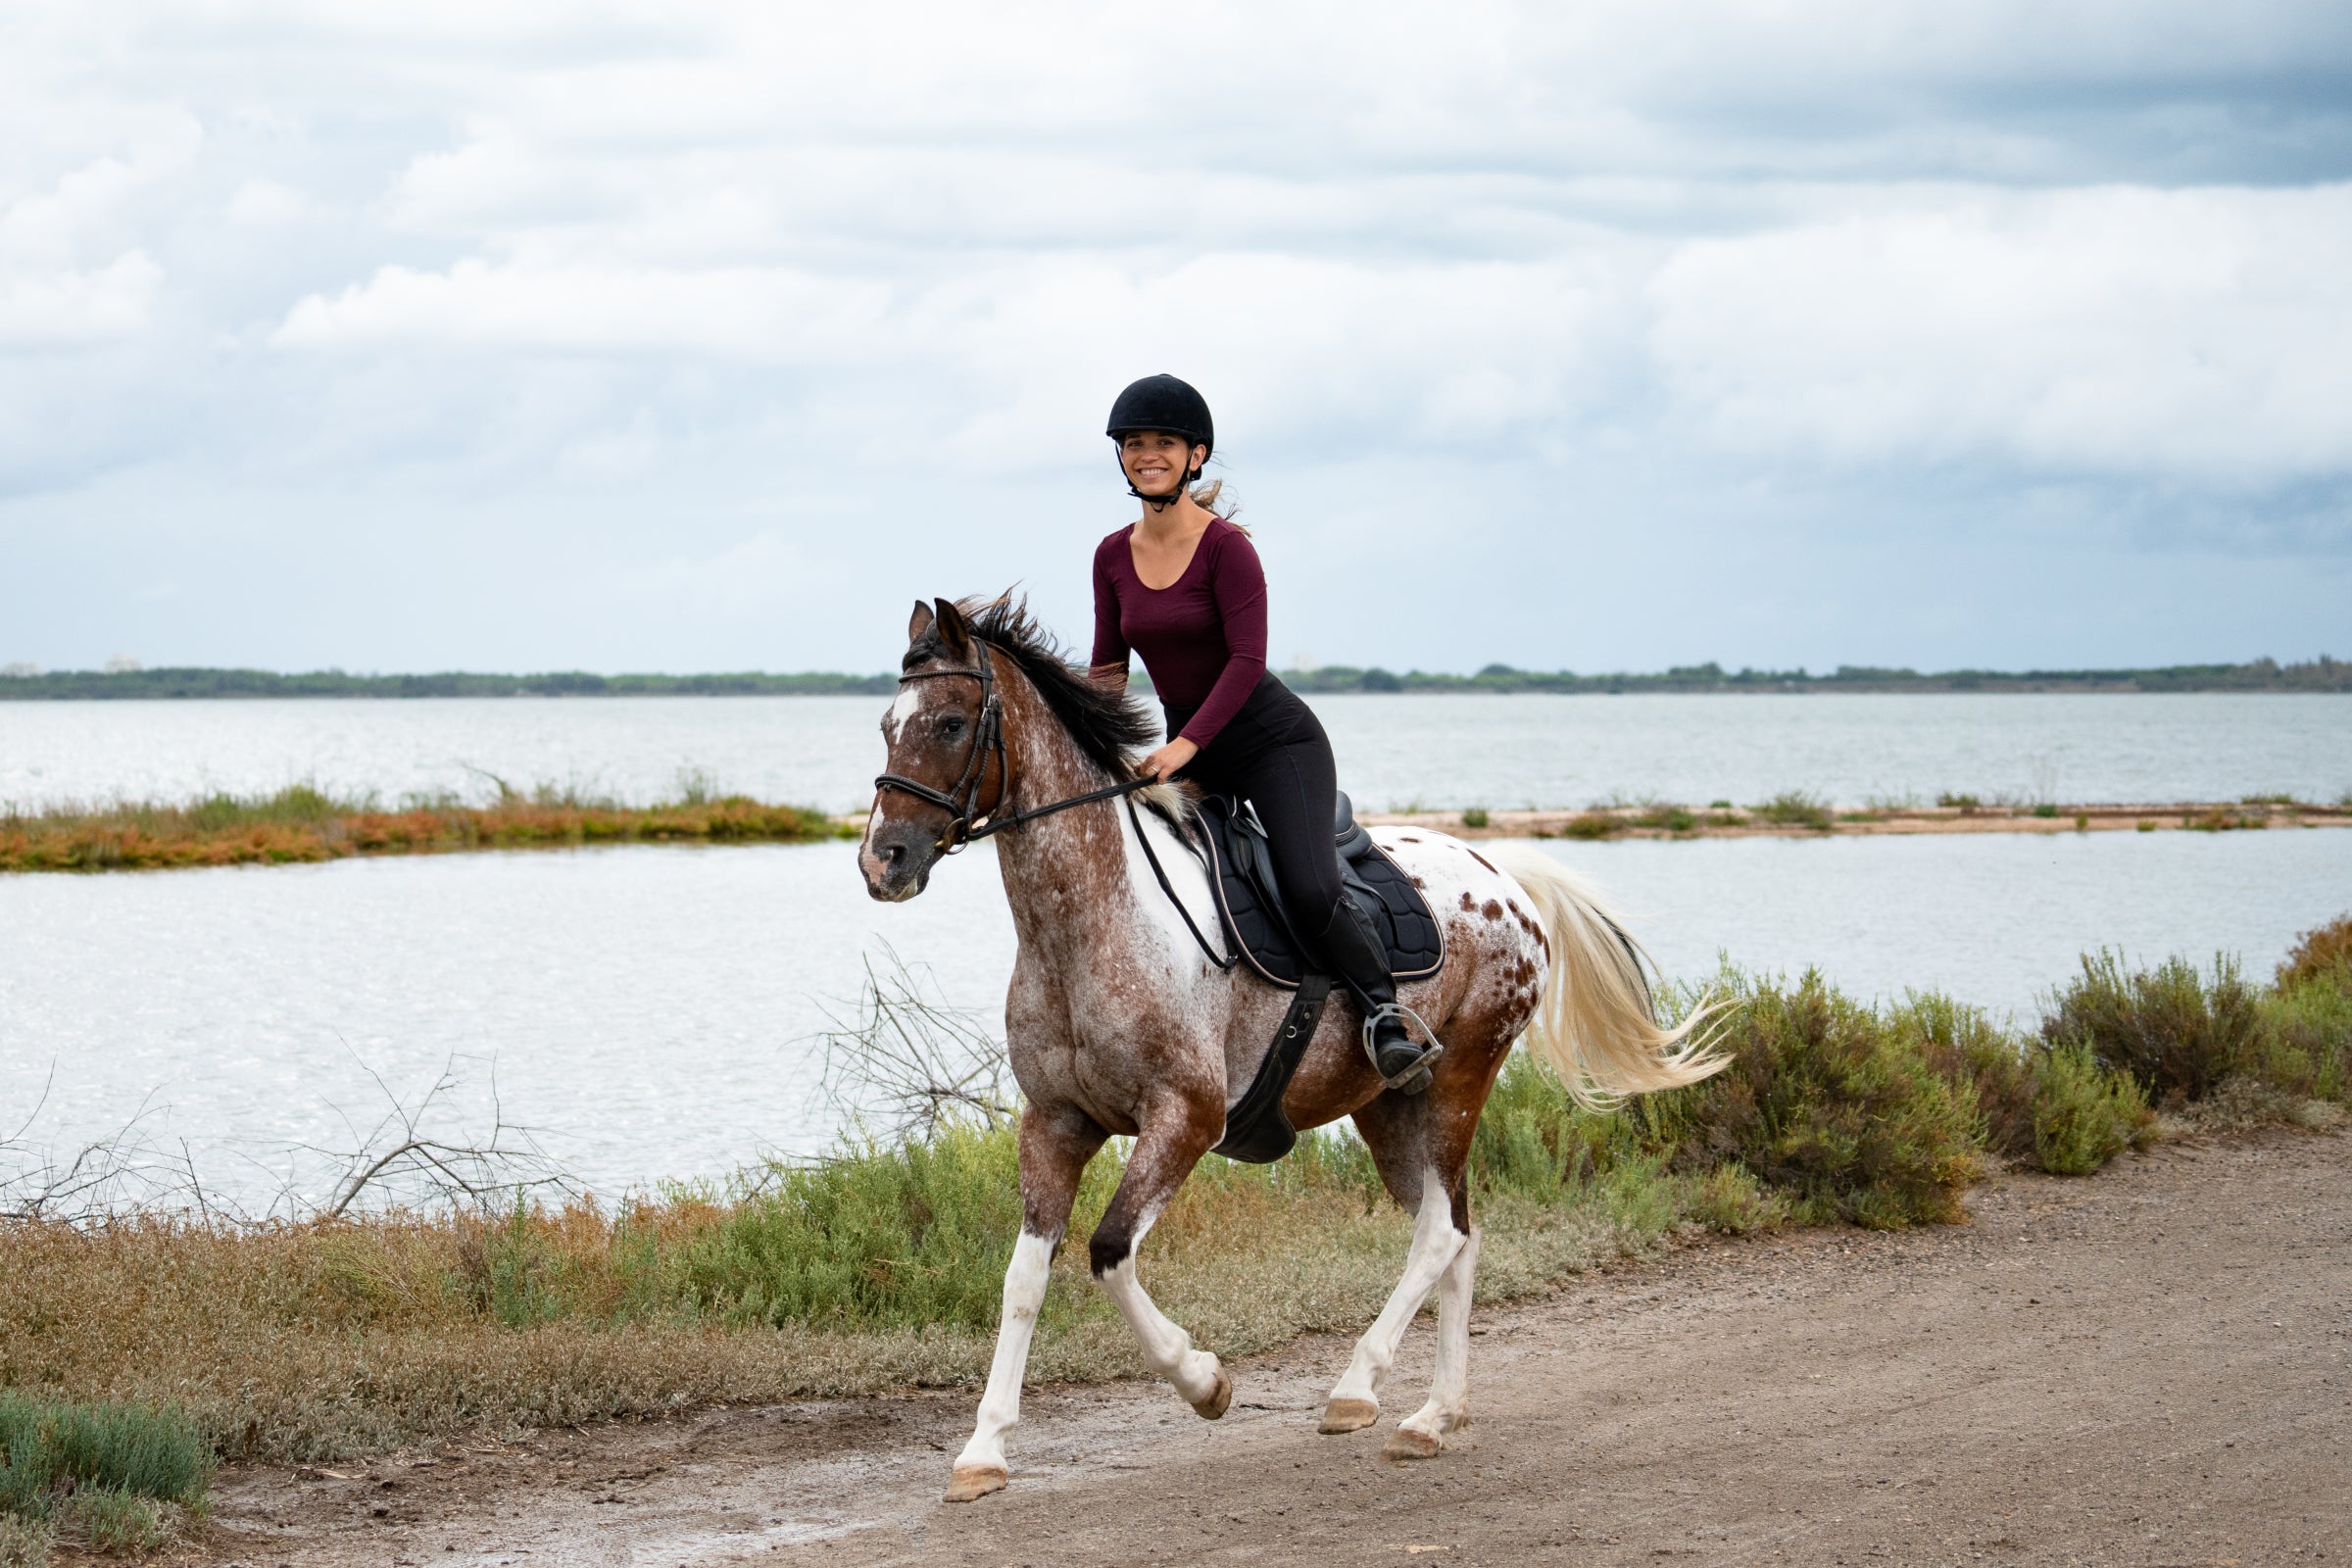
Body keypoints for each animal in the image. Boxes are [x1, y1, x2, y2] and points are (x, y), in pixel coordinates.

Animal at [859, 595, 1721, 1502]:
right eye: (888, 724)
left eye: (951, 723)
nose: (883, 862)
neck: (1086, 924)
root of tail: (1505, 878)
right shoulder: (1056, 1123)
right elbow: (1024, 1279)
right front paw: (983, 1449)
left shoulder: (1186, 1118)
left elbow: (1109, 1252)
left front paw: (1204, 1380)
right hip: (1391, 1107)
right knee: (1457, 1232)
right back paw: (1434, 1416)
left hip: (1463, 1076)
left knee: (1441, 1235)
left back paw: (1360, 1390)